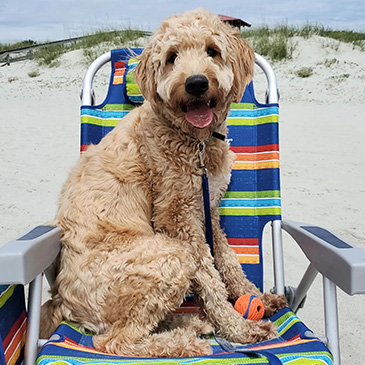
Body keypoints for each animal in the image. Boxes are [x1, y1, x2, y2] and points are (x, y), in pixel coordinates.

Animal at [39, 7, 284, 356]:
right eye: (172, 57)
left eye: (212, 51)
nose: (196, 83)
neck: (194, 140)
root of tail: (62, 301)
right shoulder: (178, 219)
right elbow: (210, 278)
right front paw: (239, 329)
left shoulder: (209, 208)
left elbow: (228, 261)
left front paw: (256, 297)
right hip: (170, 257)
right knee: (116, 341)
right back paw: (187, 342)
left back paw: (192, 323)